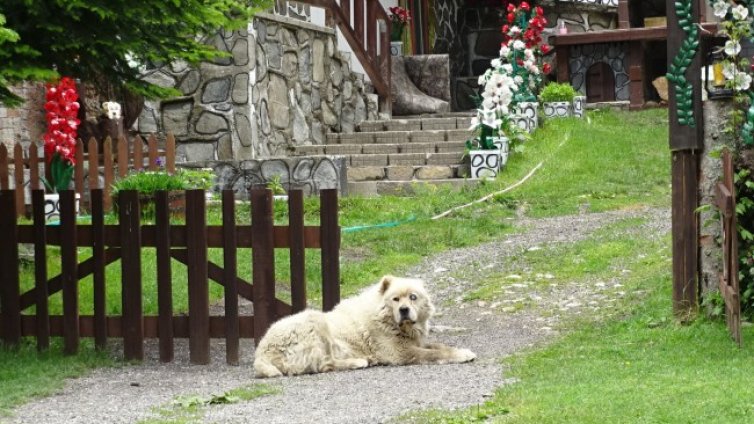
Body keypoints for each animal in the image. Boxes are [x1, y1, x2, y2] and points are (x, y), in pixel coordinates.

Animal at [253, 274, 476, 378]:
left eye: (413, 297)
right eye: (395, 299)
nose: (404, 310)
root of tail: (261, 352)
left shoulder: (415, 342)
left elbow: (439, 346)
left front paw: (462, 350)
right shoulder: (400, 352)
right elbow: (434, 353)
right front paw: (462, 355)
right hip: (315, 322)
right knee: (325, 364)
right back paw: (358, 361)